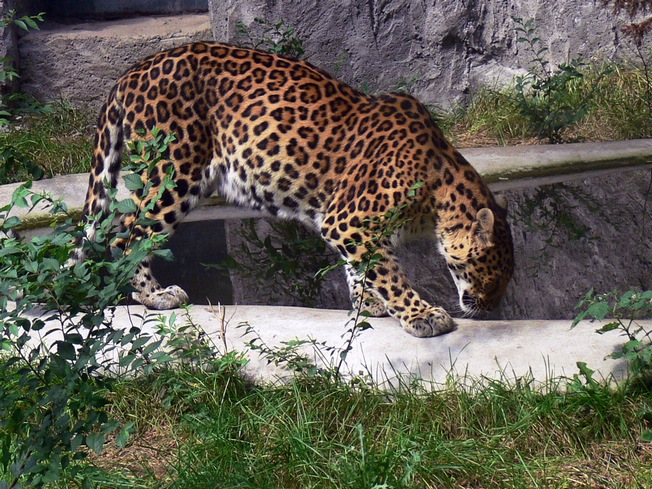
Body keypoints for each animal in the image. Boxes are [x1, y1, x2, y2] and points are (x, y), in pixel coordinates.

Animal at [75, 41, 514, 338]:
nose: (490, 307)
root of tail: (132, 72)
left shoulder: (351, 225)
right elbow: (388, 271)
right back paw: (156, 296)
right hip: (173, 171)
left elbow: (362, 268)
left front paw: (370, 304)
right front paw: (421, 314)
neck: (438, 192)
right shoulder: (350, 219)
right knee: (127, 235)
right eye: (490, 270)